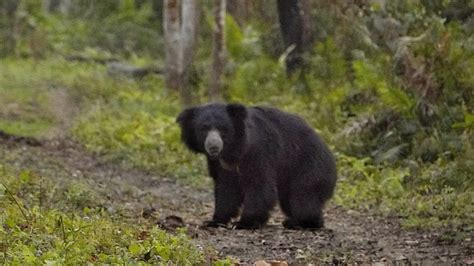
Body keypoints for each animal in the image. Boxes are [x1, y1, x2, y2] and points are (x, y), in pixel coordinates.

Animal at [177, 103, 336, 230]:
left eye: (223, 129)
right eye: (203, 129)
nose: (214, 146)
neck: (232, 149)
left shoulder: (257, 150)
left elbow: (259, 185)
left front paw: (243, 223)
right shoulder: (219, 164)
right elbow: (225, 188)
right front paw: (214, 221)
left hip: (308, 165)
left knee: (304, 197)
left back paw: (299, 222)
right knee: (289, 200)